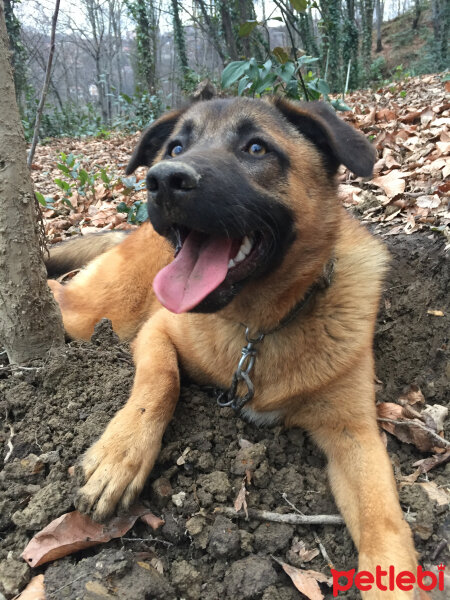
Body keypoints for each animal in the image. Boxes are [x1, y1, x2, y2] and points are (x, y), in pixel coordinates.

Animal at [47, 97, 416, 596]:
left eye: (256, 148)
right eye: (176, 146)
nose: (163, 178)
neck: (257, 328)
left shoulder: (354, 432)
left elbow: (384, 520)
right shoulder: (157, 331)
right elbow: (160, 381)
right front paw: (119, 456)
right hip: (98, 316)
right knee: (60, 296)